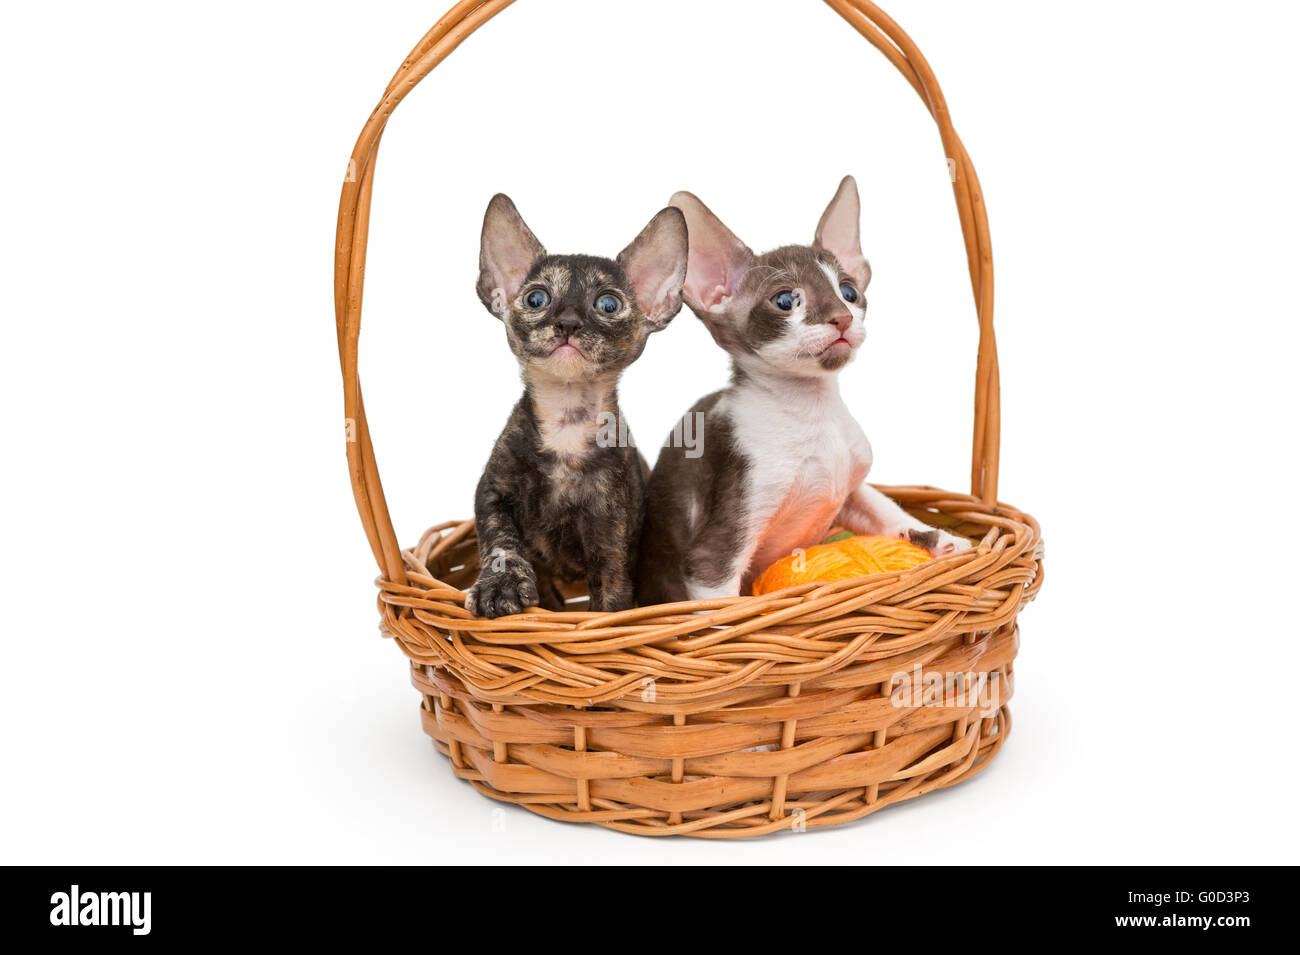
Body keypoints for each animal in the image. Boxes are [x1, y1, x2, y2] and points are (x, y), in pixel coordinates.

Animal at [467, 196, 691, 621]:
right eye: (536, 299)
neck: (566, 423)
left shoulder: (610, 541)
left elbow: (610, 601)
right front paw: (500, 585)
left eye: (608, 304)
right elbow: (500, 540)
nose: (568, 322)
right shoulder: (492, 492)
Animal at [634, 175, 972, 600]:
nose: (842, 317)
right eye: (784, 301)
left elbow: (886, 510)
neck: (812, 412)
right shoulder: (713, 555)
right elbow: (724, 607)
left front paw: (939, 538)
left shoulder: (851, 489)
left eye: (848, 292)